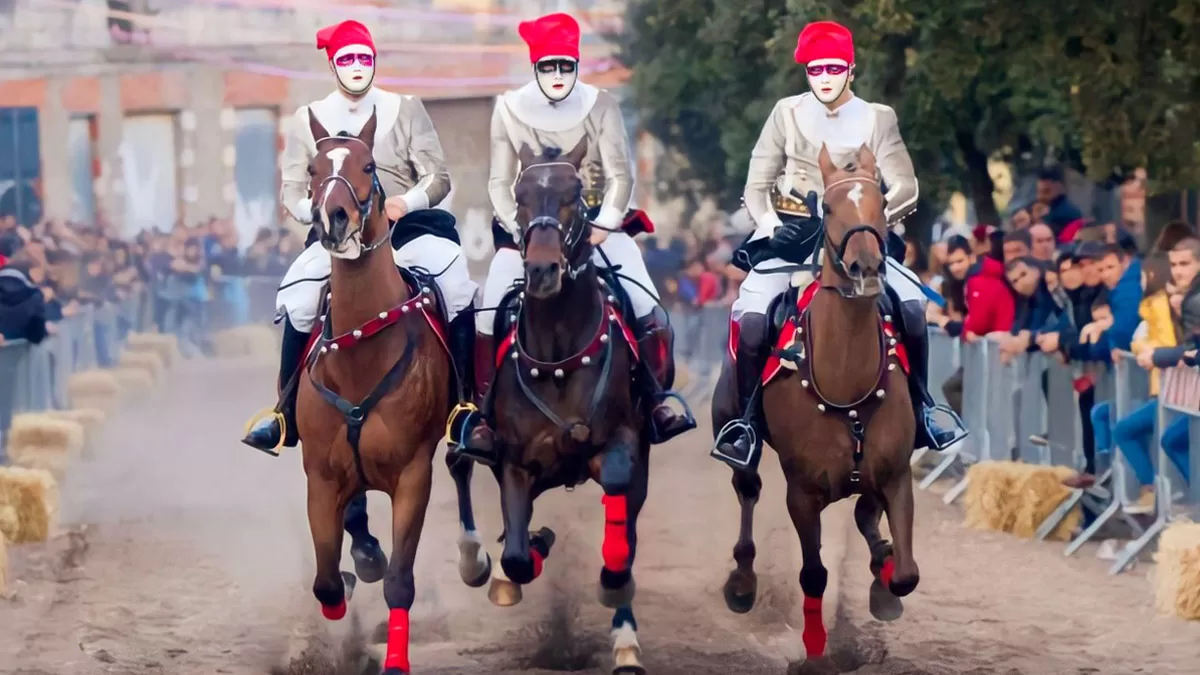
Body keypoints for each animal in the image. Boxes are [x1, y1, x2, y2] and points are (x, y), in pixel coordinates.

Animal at [295, 108, 488, 675]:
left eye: (366, 165)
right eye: (312, 168)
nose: (333, 220)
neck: (362, 350)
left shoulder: (411, 476)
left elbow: (401, 581)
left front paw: (395, 660)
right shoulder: (321, 476)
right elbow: (326, 580)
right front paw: (349, 579)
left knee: (461, 465)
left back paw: (473, 558)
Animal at [452, 140, 651, 674]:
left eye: (573, 196)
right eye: (520, 196)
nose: (542, 270)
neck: (560, 352)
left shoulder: (622, 443)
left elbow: (619, 519)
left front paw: (614, 587)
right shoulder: (515, 462)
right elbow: (519, 555)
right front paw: (526, 553)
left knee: (626, 532)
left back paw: (625, 637)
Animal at [714, 145, 920, 664]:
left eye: (881, 202)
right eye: (826, 207)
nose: (866, 267)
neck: (845, 381)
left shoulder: (895, 475)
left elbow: (905, 572)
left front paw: (885, 581)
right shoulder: (802, 493)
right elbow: (813, 574)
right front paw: (813, 652)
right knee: (747, 488)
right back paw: (742, 582)